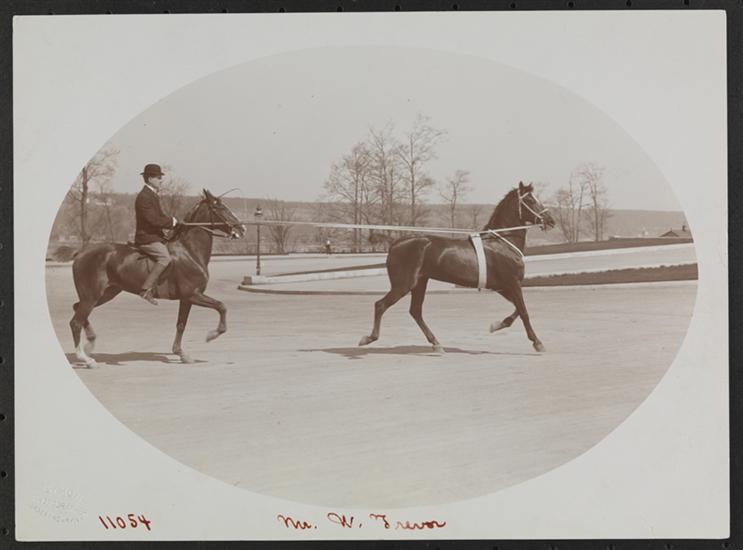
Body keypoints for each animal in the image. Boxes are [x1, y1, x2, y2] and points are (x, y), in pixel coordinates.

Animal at [69, 189, 246, 367]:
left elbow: (181, 324)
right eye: (219, 207)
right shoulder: (193, 295)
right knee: (76, 322)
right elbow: (221, 306)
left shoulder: (186, 299)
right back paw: (86, 358)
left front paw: (181, 354)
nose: (242, 228)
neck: (189, 251)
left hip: (106, 294)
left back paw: (90, 343)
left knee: (77, 309)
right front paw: (212, 335)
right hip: (91, 296)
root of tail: (81, 253)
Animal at [358, 182, 556, 353]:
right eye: (530, 200)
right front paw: (538, 343)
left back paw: (436, 343)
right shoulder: (513, 283)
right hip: (403, 284)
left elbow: (517, 310)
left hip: (420, 282)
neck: (502, 242)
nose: (551, 220)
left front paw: (496, 325)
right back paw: (368, 338)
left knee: (415, 311)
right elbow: (523, 311)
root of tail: (396, 243)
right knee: (381, 305)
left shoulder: (503, 286)